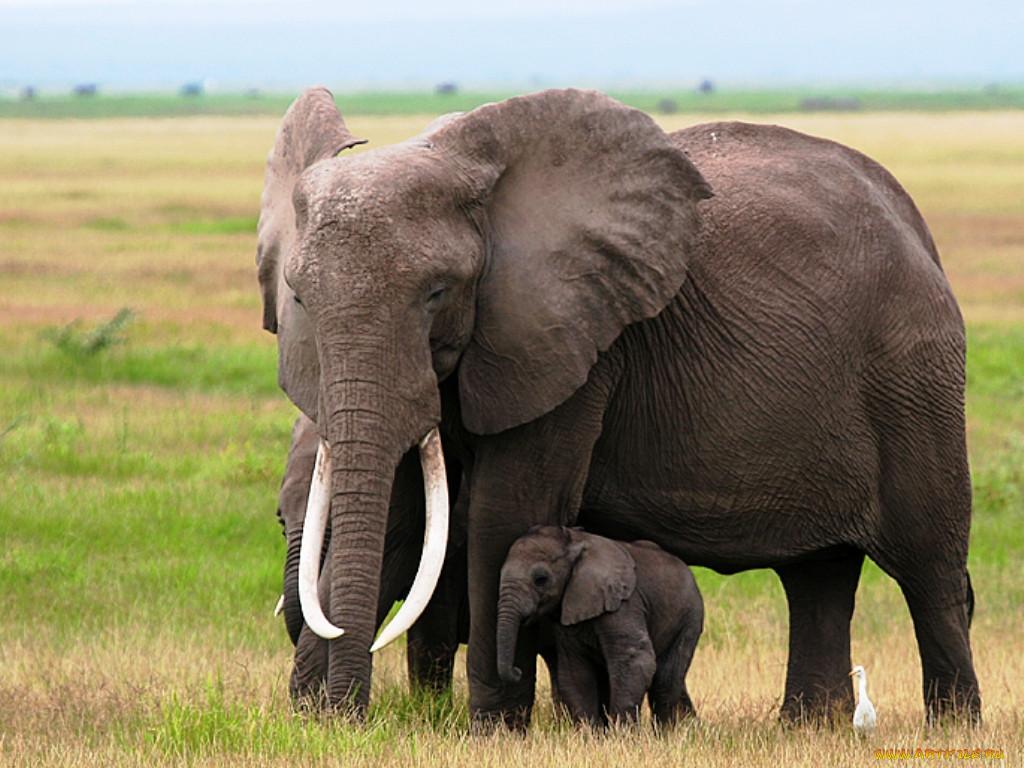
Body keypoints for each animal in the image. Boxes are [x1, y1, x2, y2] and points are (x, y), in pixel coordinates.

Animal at [495, 528, 704, 724]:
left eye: (541, 579)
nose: (517, 671)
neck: (576, 542)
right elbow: (574, 672)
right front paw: (589, 734)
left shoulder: (623, 604)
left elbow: (636, 661)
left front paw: (622, 734)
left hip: (690, 618)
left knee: (666, 679)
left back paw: (665, 732)